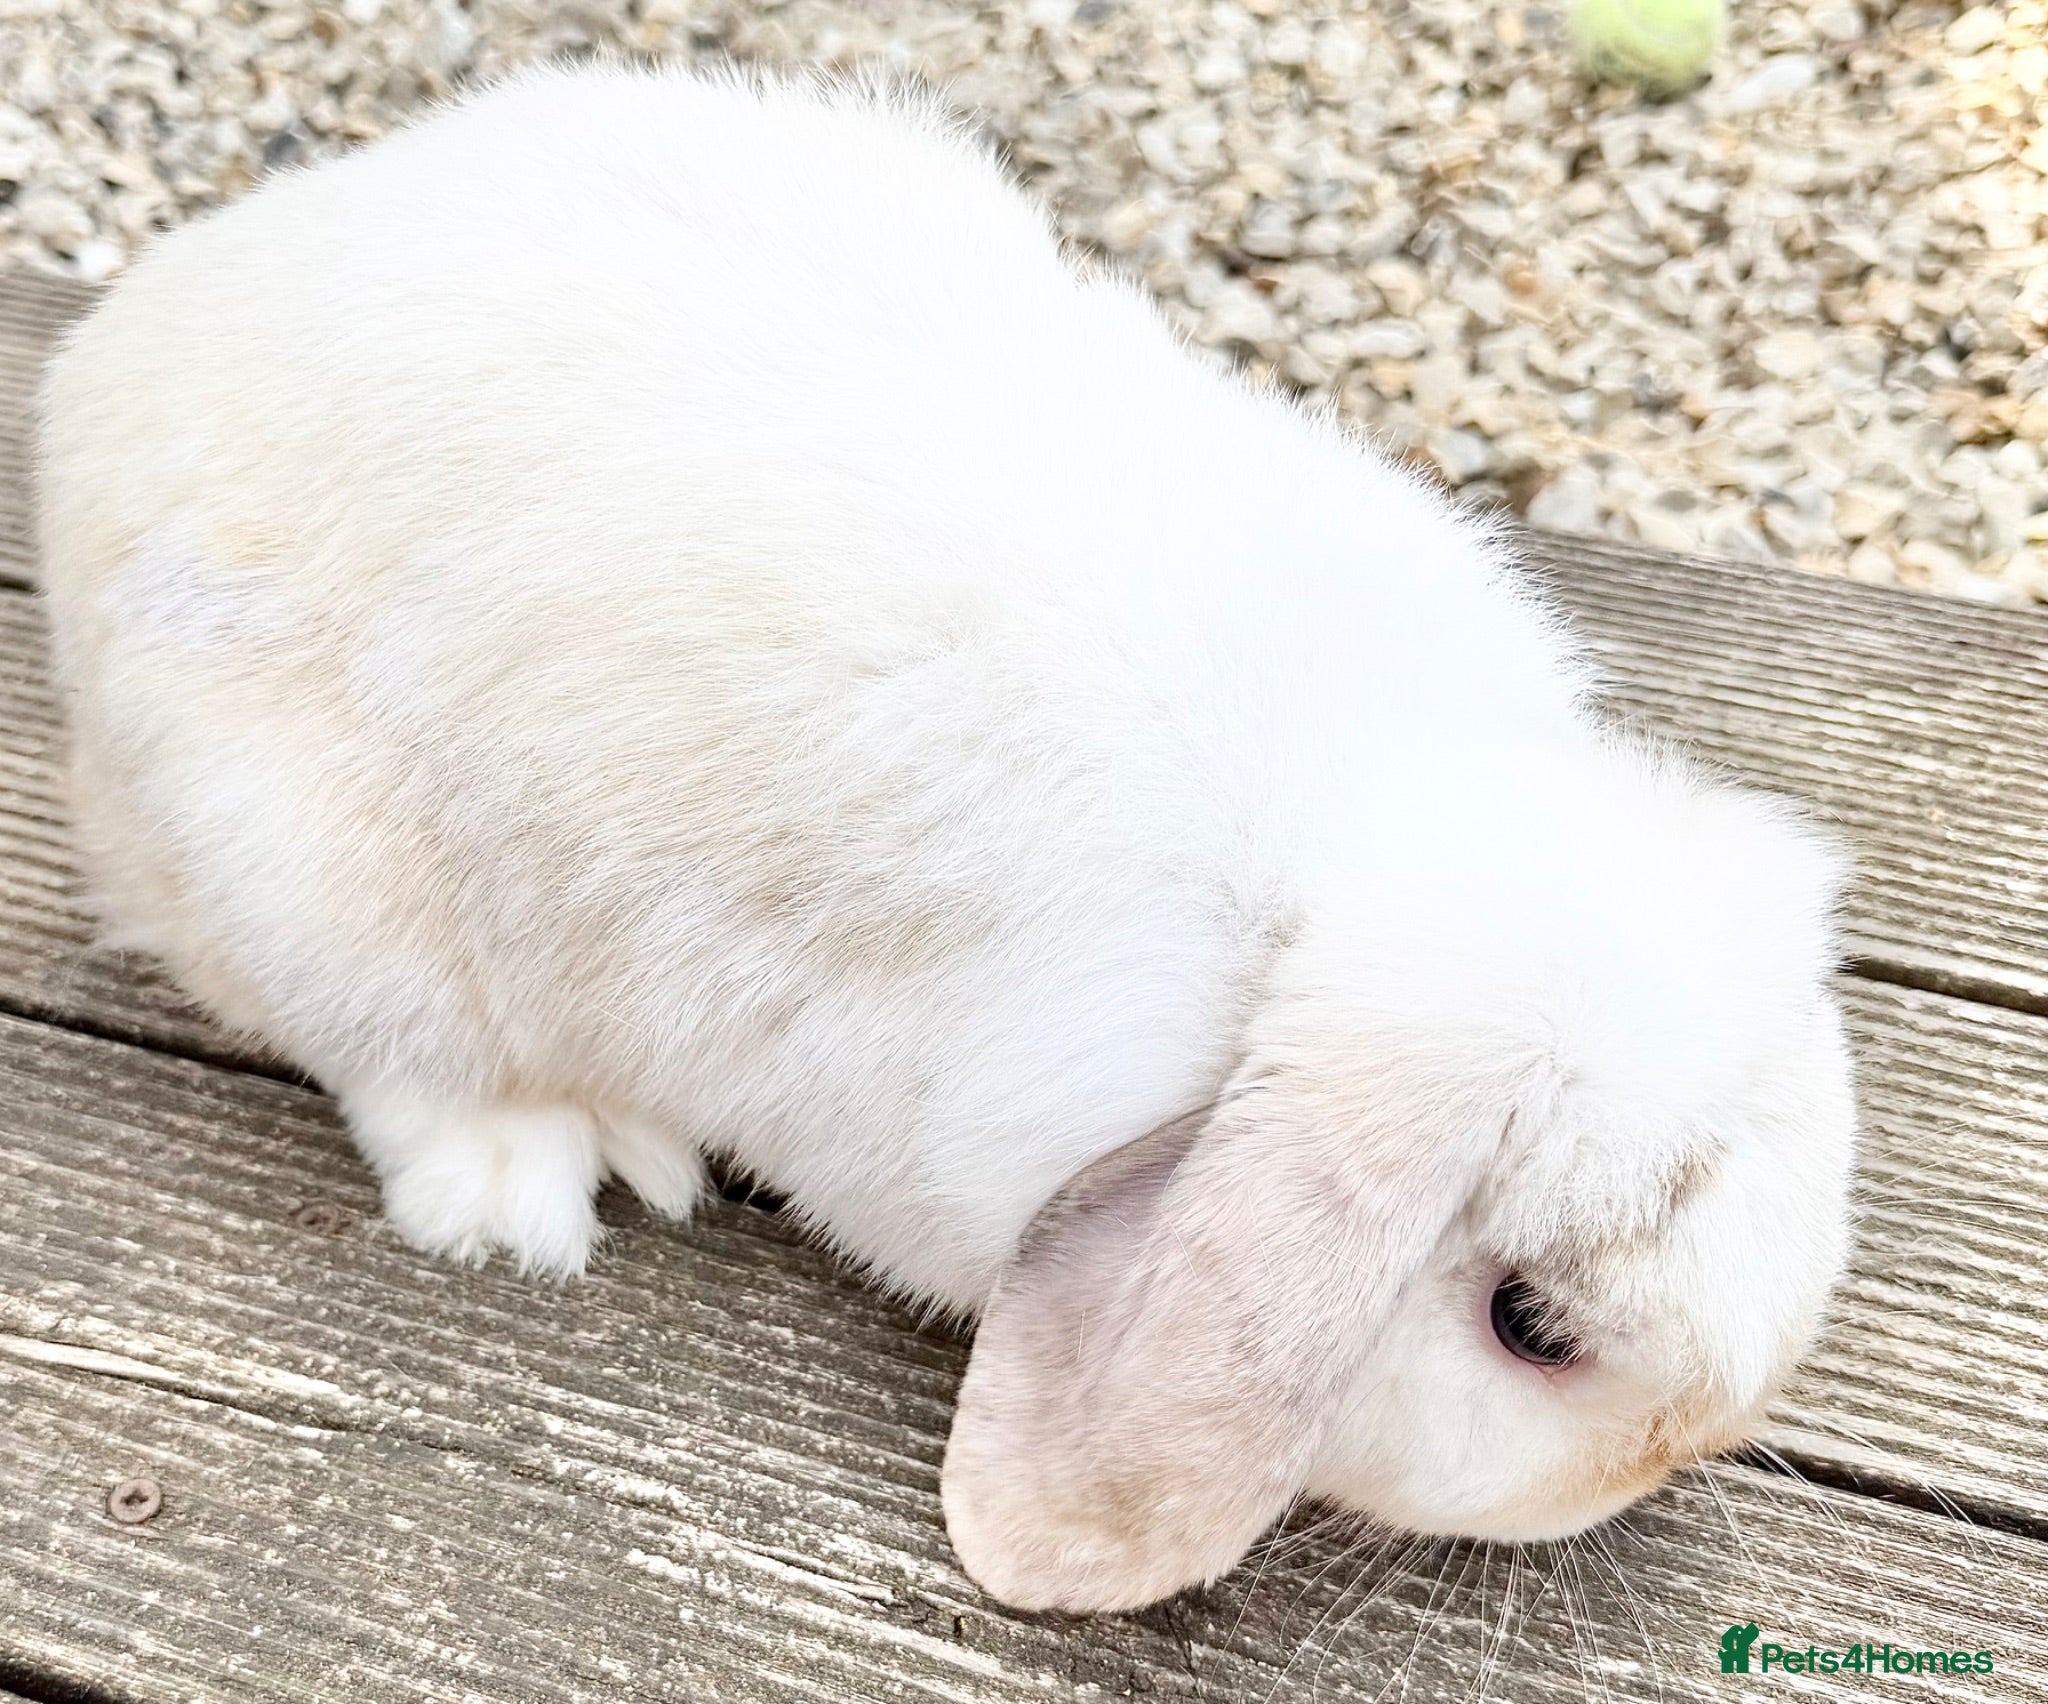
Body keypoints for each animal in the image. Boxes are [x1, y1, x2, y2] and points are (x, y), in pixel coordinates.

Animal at [36, 63, 1857, 1615]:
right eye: (1527, 1326)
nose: (1649, 1472)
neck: (1325, 904)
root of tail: (93, 390)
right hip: (294, 862)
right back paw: (541, 1175)